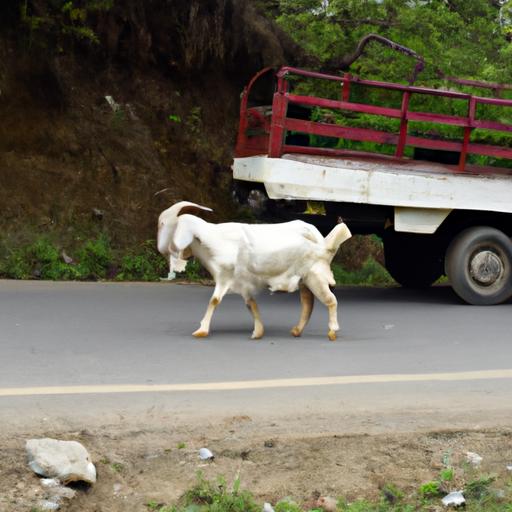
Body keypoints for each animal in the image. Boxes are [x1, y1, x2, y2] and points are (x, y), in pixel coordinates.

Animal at [158, 200, 352, 340]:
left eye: (162, 223)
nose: (161, 249)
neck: (212, 239)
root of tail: (324, 245)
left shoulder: (224, 277)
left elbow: (214, 301)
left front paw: (201, 331)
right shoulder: (243, 284)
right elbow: (251, 304)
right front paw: (258, 332)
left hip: (316, 277)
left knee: (330, 300)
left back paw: (332, 331)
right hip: (305, 280)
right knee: (307, 303)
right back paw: (297, 331)